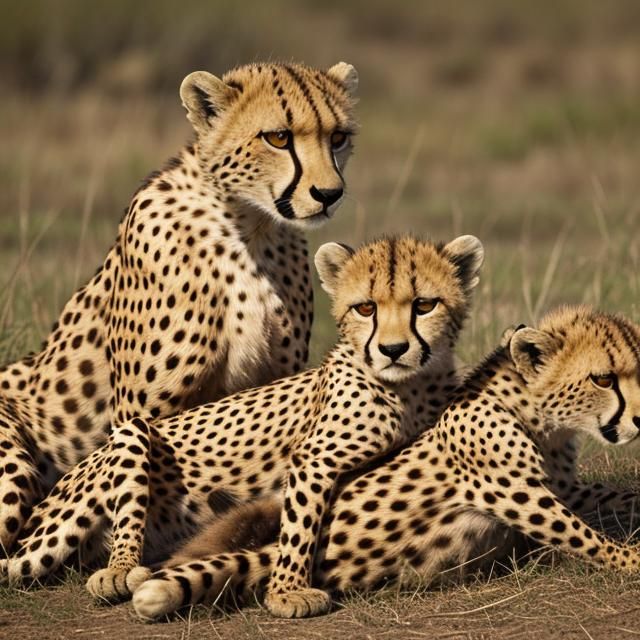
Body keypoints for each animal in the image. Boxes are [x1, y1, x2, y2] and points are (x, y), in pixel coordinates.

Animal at [0, 233, 485, 619]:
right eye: (365, 308)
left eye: (424, 305)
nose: (393, 349)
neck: (411, 387)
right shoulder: (312, 459)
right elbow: (299, 527)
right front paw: (287, 593)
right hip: (131, 432)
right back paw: (120, 571)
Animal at [132, 305, 640, 620]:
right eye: (603, 379)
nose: (638, 419)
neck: (539, 416)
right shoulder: (516, 492)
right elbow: (582, 535)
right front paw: (632, 559)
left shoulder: (563, 485)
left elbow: (616, 498)